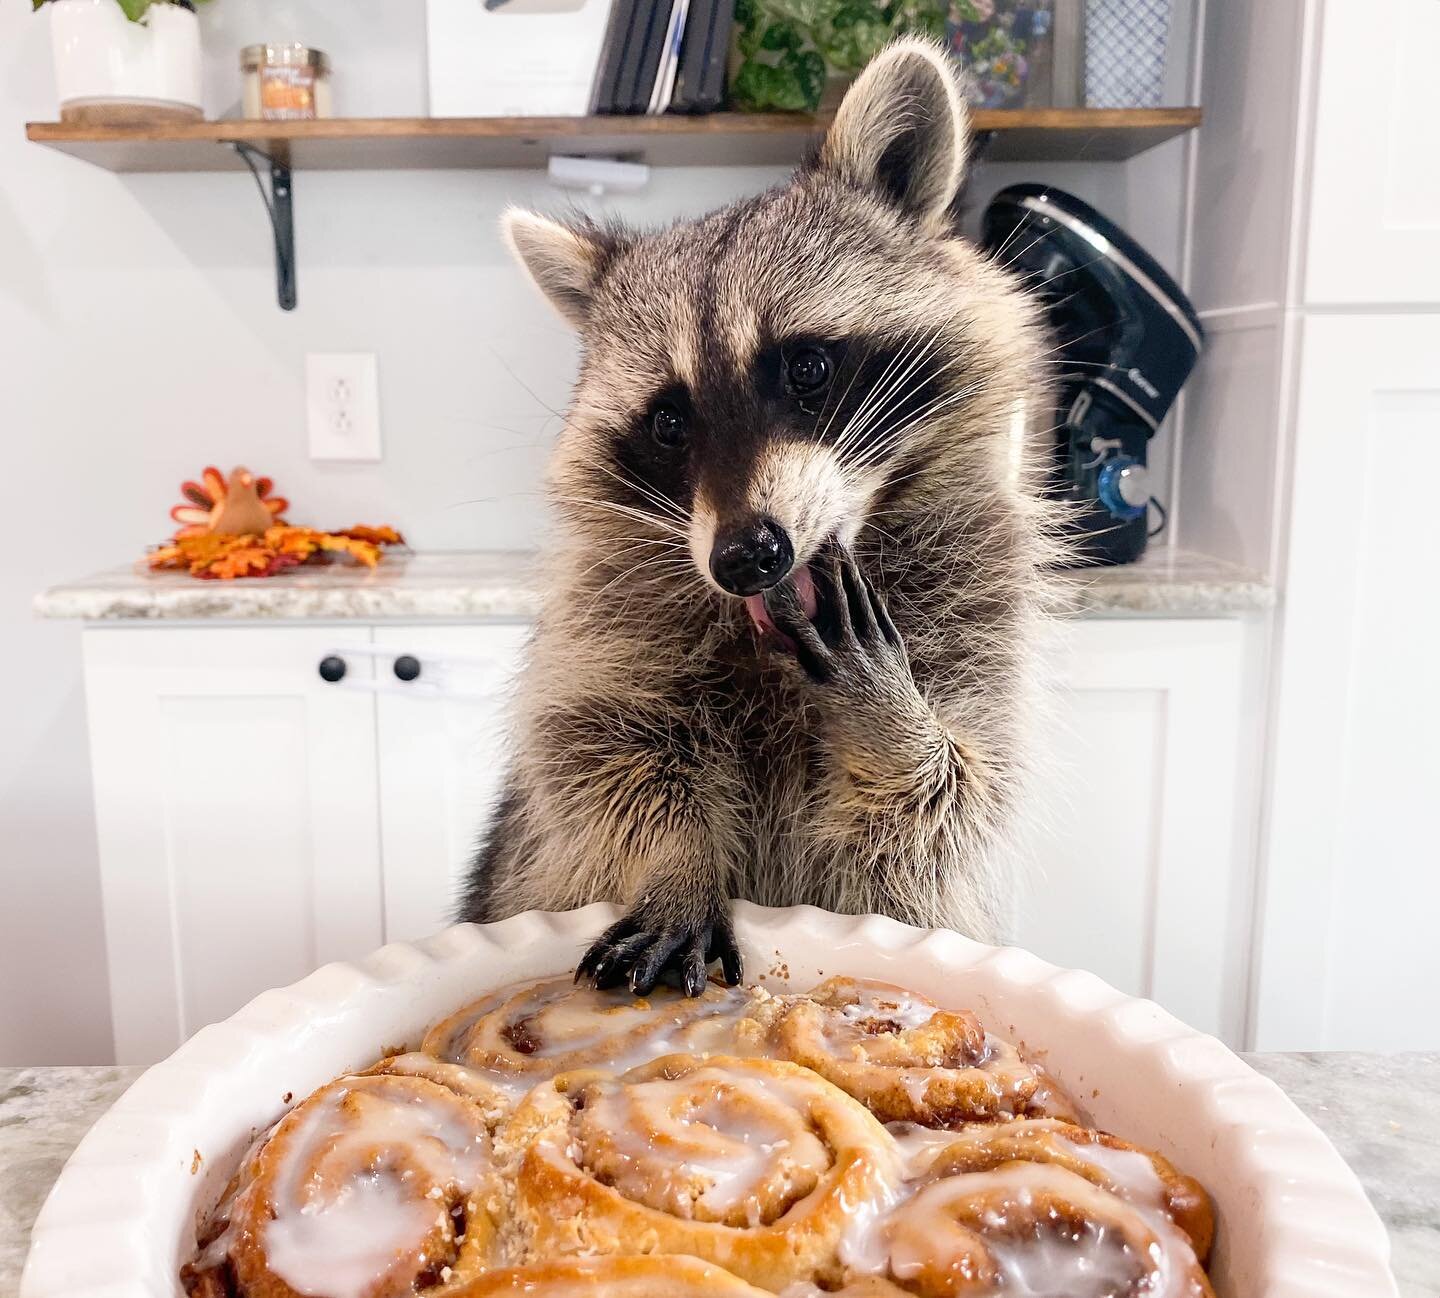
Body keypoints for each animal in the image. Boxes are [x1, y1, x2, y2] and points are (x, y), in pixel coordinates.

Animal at [460, 37, 1059, 991]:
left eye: (806, 367)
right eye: (669, 421)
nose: (746, 557)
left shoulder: (979, 597)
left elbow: (950, 798)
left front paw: (896, 727)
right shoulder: (610, 619)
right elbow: (605, 749)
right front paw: (676, 862)